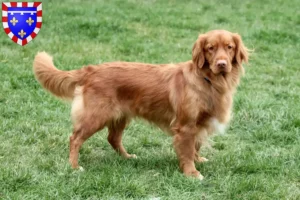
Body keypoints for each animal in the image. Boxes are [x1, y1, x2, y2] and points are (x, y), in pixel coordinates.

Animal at [33, 28, 248, 180]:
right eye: (210, 48)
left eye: (229, 47)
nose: (222, 64)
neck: (208, 80)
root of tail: (91, 69)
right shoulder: (185, 126)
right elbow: (187, 151)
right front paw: (192, 172)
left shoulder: (198, 124)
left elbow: (196, 146)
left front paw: (198, 160)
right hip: (96, 116)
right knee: (75, 138)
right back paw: (74, 166)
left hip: (120, 116)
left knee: (113, 138)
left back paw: (127, 157)